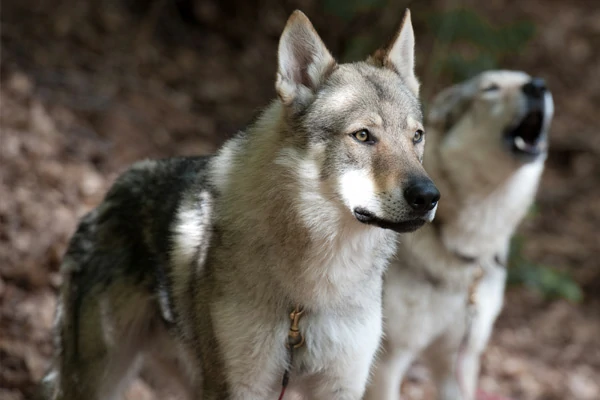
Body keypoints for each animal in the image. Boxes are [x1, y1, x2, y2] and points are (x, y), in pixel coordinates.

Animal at [39, 9, 438, 400]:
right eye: (363, 135)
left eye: (416, 136)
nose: (428, 196)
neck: (310, 293)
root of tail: (110, 193)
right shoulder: (238, 387)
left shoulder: (341, 386)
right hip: (100, 379)